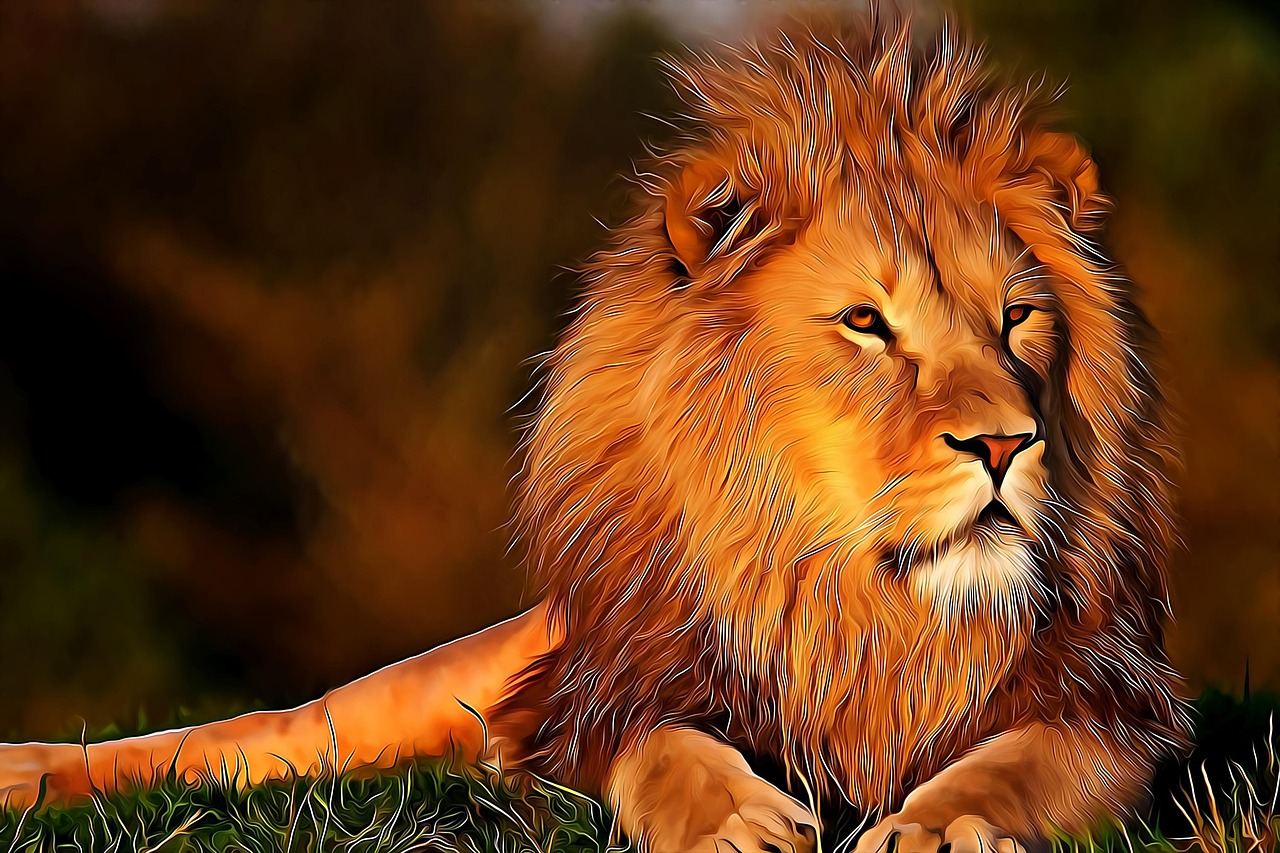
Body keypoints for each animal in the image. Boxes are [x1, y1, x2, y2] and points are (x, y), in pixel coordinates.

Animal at [0, 16, 1189, 853]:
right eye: (864, 322)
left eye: (1016, 318)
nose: (1006, 444)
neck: (857, 600)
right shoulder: (606, 697)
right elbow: (665, 750)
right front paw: (732, 820)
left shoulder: (1116, 708)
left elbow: (1017, 762)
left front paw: (939, 824)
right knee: (257, 736)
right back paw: (28, 768)